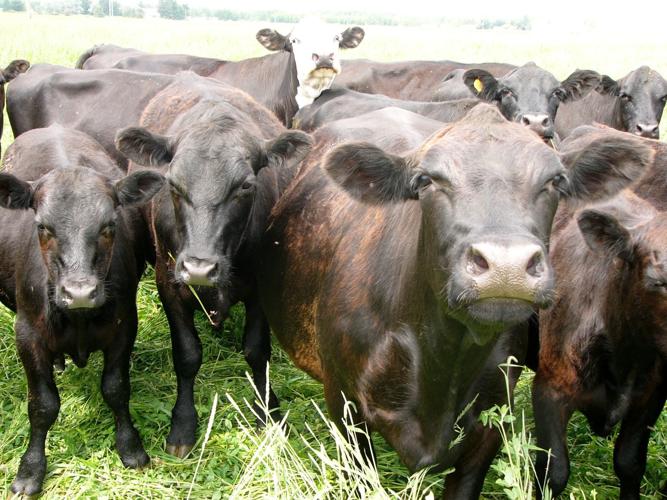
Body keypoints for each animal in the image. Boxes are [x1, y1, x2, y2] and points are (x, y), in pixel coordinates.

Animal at [0, 125, 165, 495]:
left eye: (109, 226)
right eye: (42, 227)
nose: (80, 292)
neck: (77, 319)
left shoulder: (123, 326)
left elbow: (116, 389)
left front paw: (131, 447)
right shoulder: (26, 334)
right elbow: (42, 404)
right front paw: (30, 470)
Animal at [114, 75, 313, 458]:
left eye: (246, 185)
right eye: (172, 183)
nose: (200, 269)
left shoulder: (261, 286)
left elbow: (257, 351)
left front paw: (269, 412)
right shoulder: (169, 283)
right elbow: (187, 355)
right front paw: (182, 425)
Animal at [255, 104, 654, 498]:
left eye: (555, 181)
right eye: (426, 180)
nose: (506, 265)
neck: (440, 358)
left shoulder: (492, 422)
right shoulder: (344, 407)